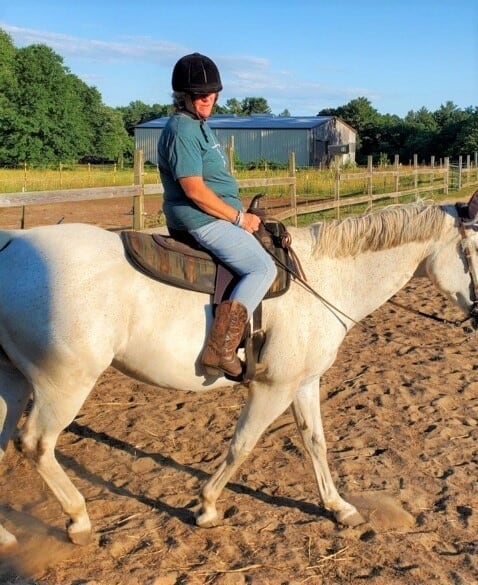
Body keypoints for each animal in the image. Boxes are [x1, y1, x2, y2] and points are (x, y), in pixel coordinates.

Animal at [0, 196, 476, 548]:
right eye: (474, 251)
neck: (324, 278)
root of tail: (12, 247)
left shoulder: (304, 383)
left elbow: (316, 443)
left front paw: (338, 507)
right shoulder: (274, 388)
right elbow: (242, 445)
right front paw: (208, 507)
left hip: (14, 382)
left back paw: (7, 537)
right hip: (63, 384)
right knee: (36, 444)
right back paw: (78, 519)